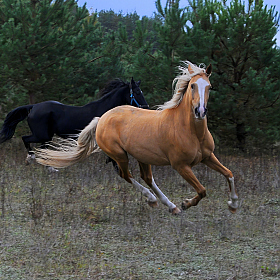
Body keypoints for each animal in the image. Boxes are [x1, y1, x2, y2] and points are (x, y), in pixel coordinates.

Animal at [0, 77, 149, 165]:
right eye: (137, 92)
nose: (146, 107)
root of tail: (33, 107)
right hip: (41, 135)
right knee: (26, 139)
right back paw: (30, 159)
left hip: (46, 136)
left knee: (43, 149)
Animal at [35, 61, 238, 214]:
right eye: (193, 85)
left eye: (210, 87)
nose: (200, 111)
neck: (190, 131)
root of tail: (102, 118)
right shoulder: (181, 165)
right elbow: (202, 190)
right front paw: (186, 203)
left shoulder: (208, 157)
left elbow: (229, 174)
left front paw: (233, 204)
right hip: (119, 155)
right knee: (126, 175)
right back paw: (154, 200)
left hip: (142, 156)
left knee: (146, 177)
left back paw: (170, 206)